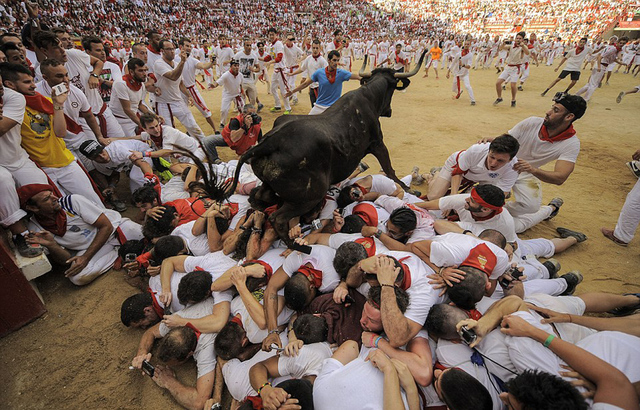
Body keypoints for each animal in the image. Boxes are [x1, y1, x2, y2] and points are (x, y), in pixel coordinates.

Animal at [228, 50, 428, 243]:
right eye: (393, 88)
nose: (389, 111)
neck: (368, 97)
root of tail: (270, 142)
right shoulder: (378, 144)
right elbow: (389, 169)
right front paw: (408, 188)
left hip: (269, 185)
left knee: (260, 199)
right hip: (308, 197)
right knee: (278, 218)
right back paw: (295, 244)